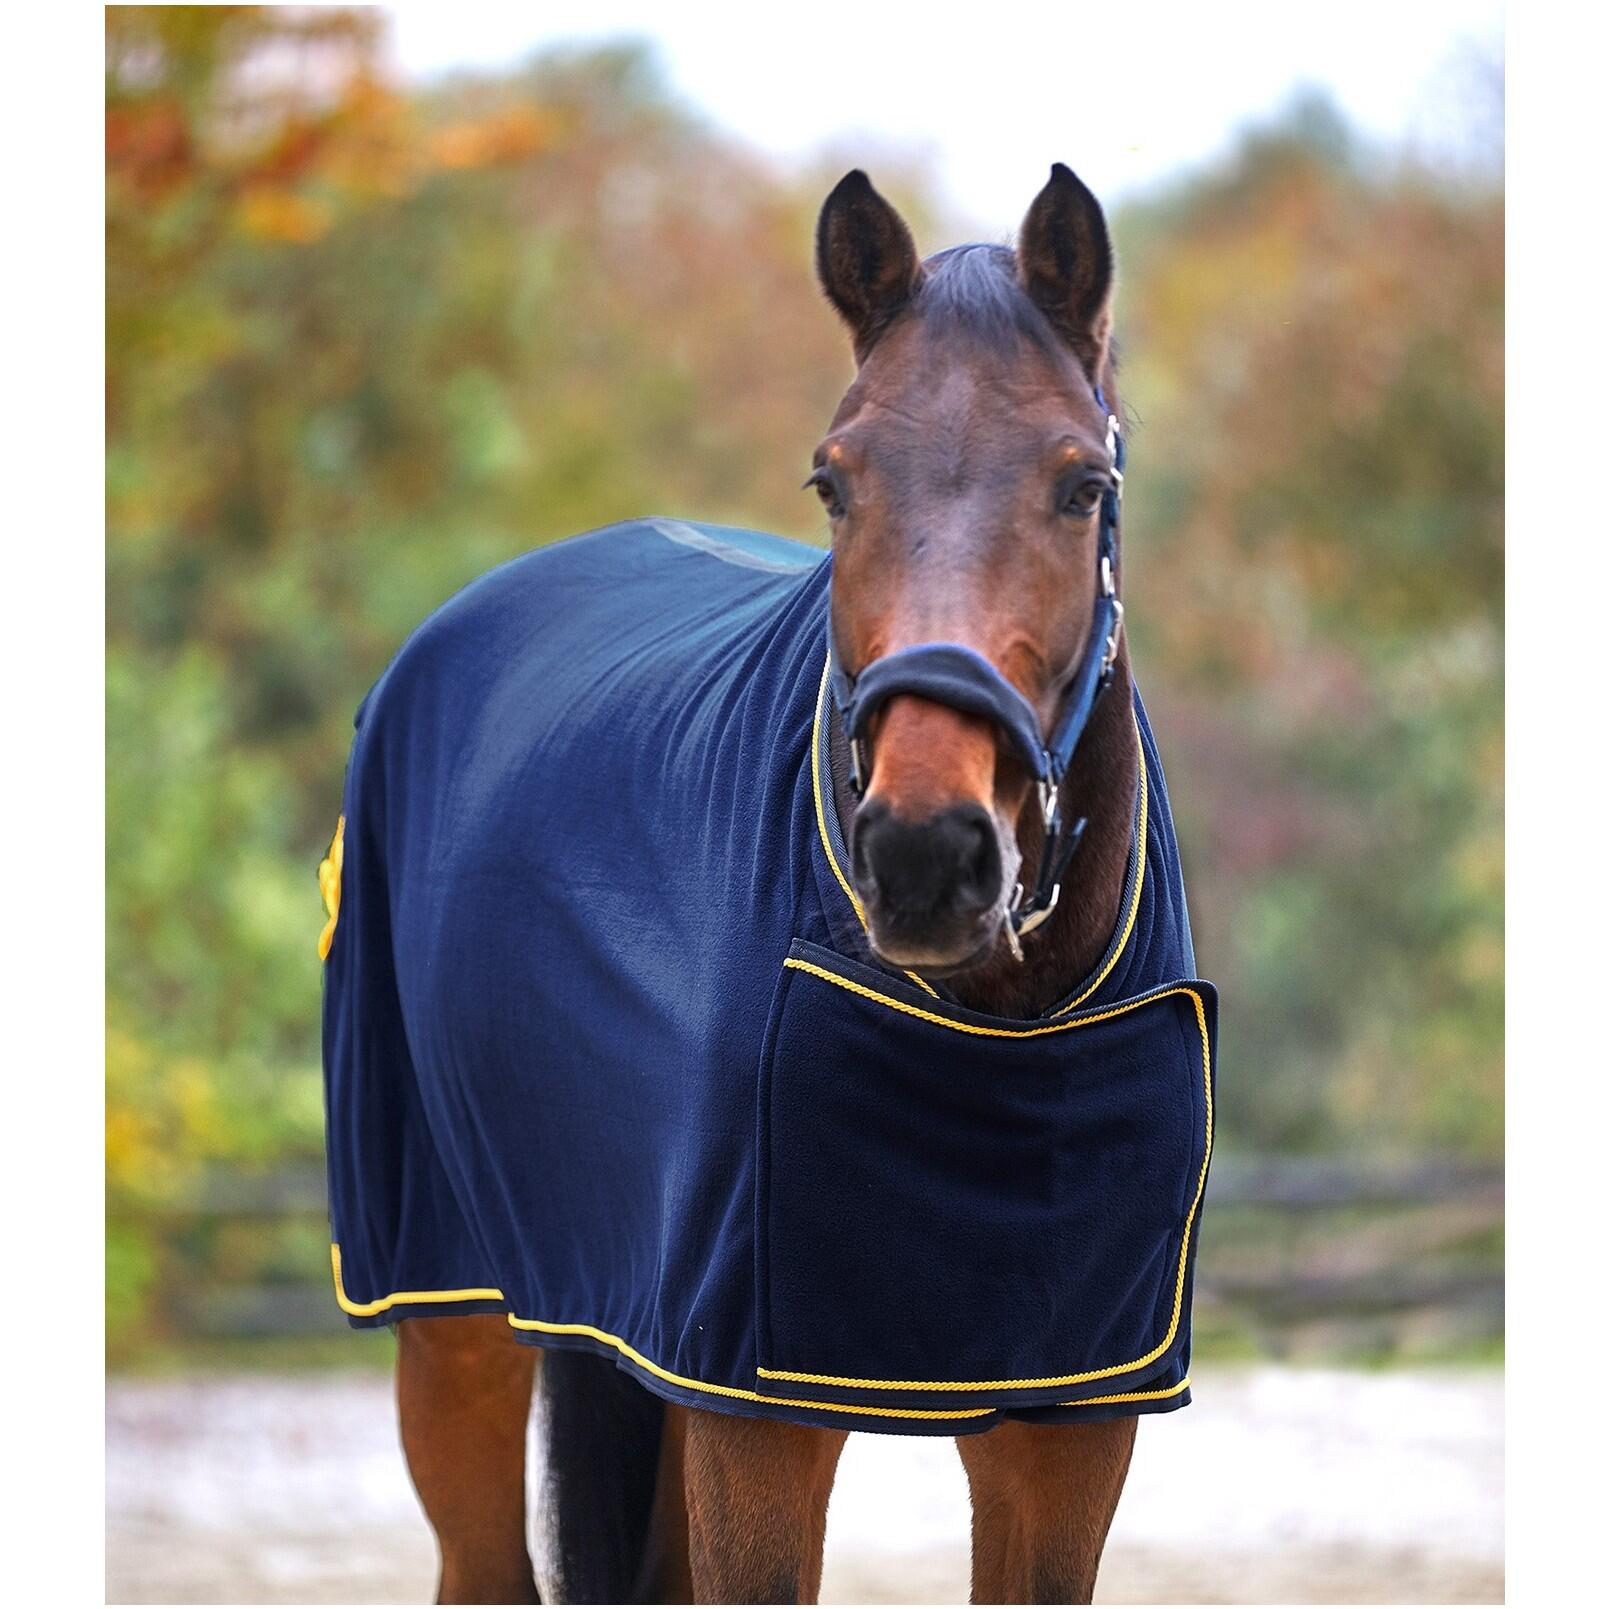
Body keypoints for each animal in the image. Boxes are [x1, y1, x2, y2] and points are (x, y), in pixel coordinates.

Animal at [318, 164, 1215, 1604]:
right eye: (832, 482)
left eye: (1082, 485)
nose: (923, 854)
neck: (1002, 1026)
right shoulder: (758, 1421)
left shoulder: (1070, 1427)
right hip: (454, 1313)